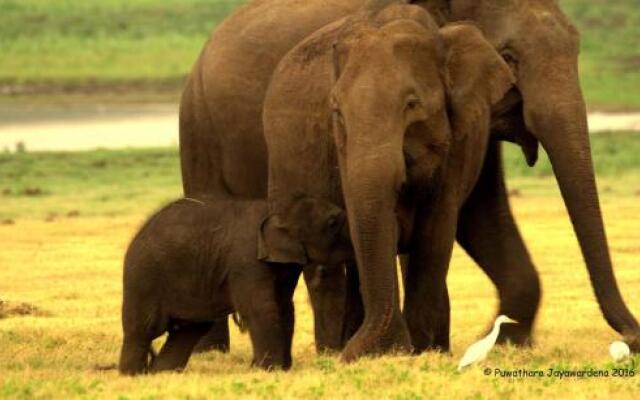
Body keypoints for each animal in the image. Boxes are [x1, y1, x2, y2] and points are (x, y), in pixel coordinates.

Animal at [117, 195, 352, 376]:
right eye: (333, 222)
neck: (276, 207)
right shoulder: (246, 261)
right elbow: (261, 309)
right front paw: (268, 370)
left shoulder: (285, 264)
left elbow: (284, 307)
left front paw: (279, 369)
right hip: (143, 279)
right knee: (144, 328)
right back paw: (133, 375)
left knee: (190, 329)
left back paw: (163, 373)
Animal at [180, 0, 640, 356]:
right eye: (509, 56)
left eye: (577, 47)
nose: (631, 340)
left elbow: (475, 211)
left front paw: (502, 342)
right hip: (198, 124)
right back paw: (213, 351)